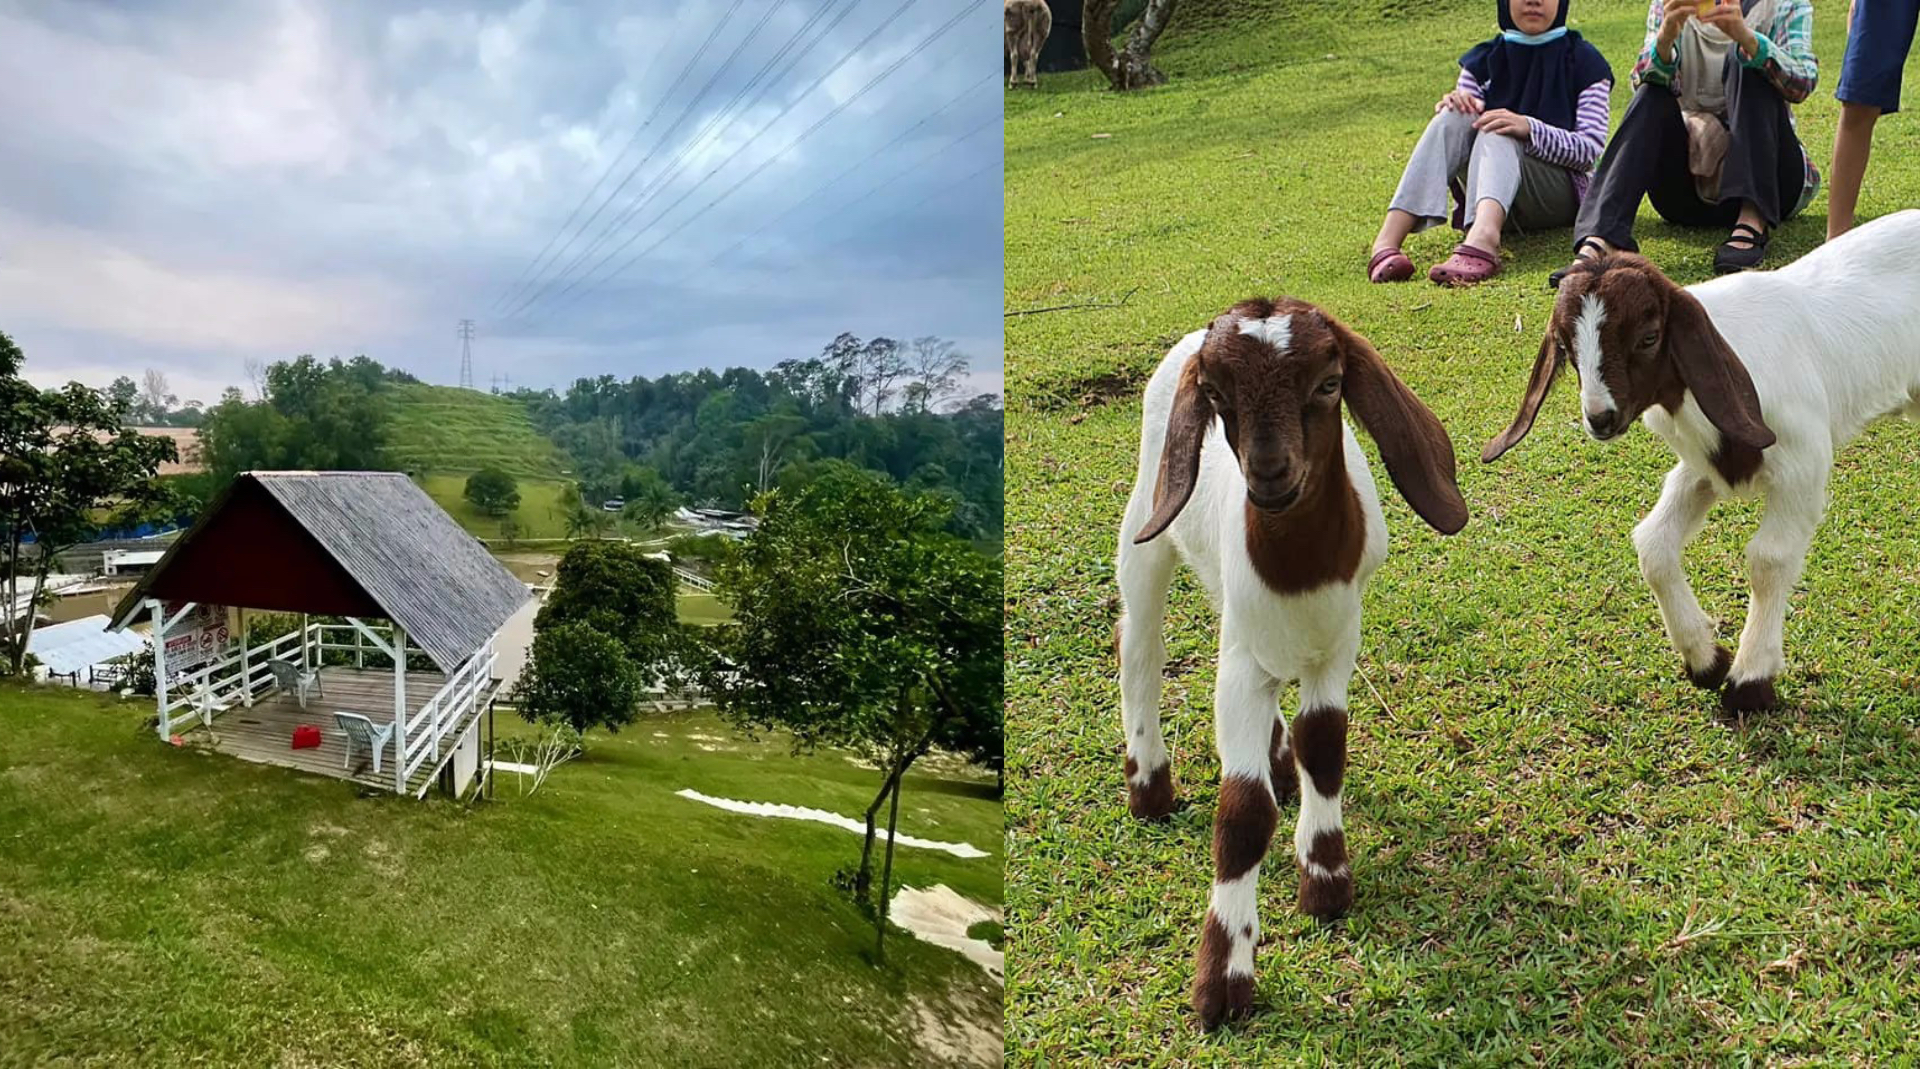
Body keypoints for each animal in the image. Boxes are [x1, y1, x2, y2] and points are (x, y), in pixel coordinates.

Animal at [1113, 295, 1466, 1028]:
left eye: (1329, 385)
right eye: (1216, 396)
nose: (1270, 473)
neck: (1298, 569)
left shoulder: (1338, 642)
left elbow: (1324, 744)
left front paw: (1326, 878)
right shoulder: (1239, 662)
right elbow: (1243, 812)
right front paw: (1224, 979)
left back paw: (1277, 761)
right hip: (1146, 523)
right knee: (1140, 645)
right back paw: (1149, 784)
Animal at [1489, 205, 1920, 713]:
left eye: (1649, 337)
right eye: (1565, 344)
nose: (1600, 418)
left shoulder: (1803, 467)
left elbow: (1769, 558)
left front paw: (1750, 682)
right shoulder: (1704, 466)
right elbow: (1653, 543)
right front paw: (1706, 660)